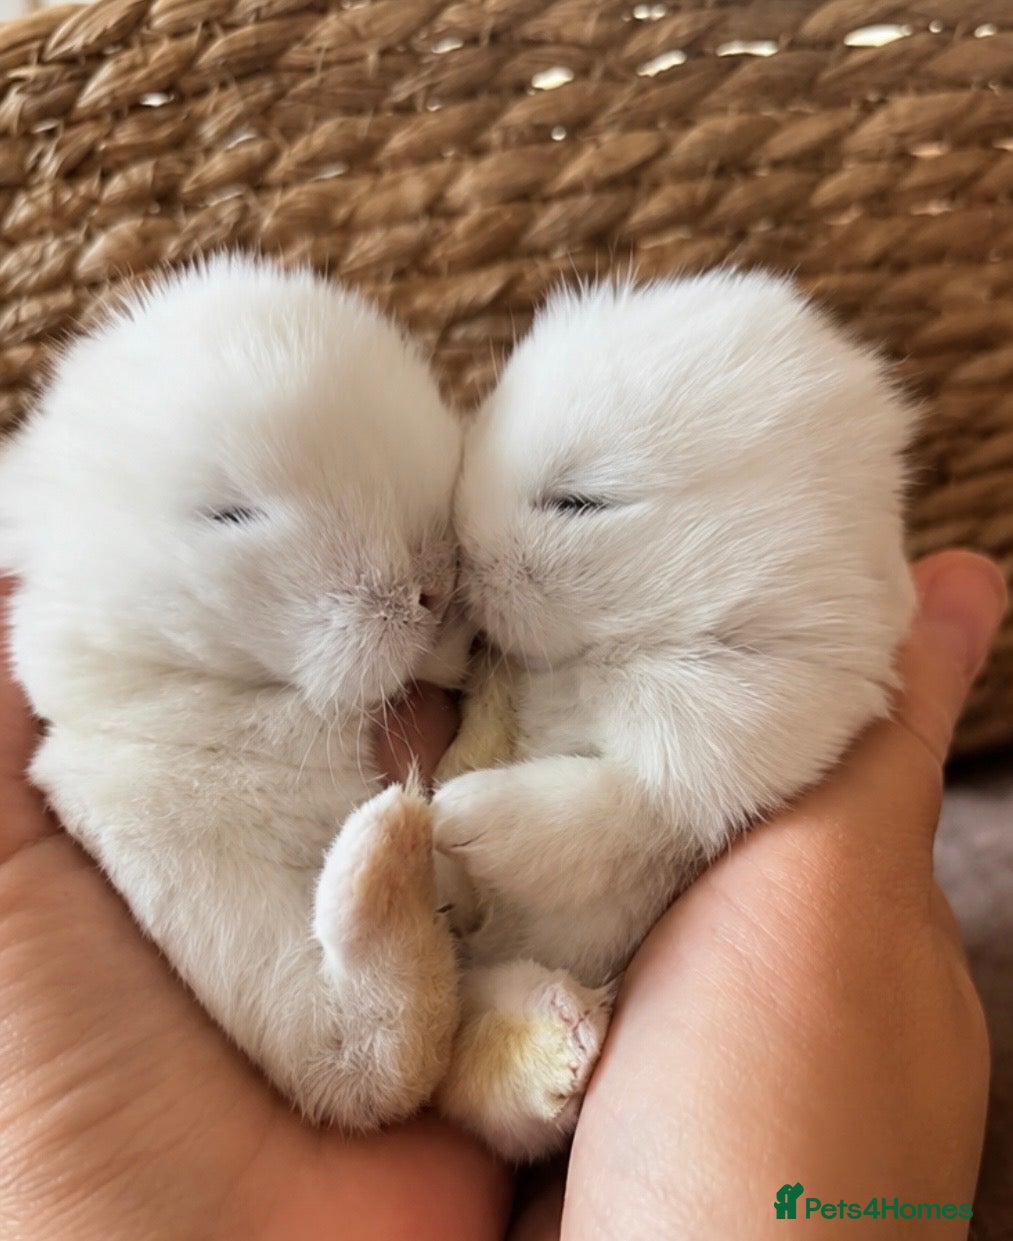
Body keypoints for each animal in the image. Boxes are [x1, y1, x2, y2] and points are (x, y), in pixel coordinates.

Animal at [430, 271, 916, 1159]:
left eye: (581, 501)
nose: (458, 557)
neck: (629, 646)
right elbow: (494, 721)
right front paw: (444, 823)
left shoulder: (709, 750)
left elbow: (588, 807)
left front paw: (455, 816)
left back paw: (567, 1041)